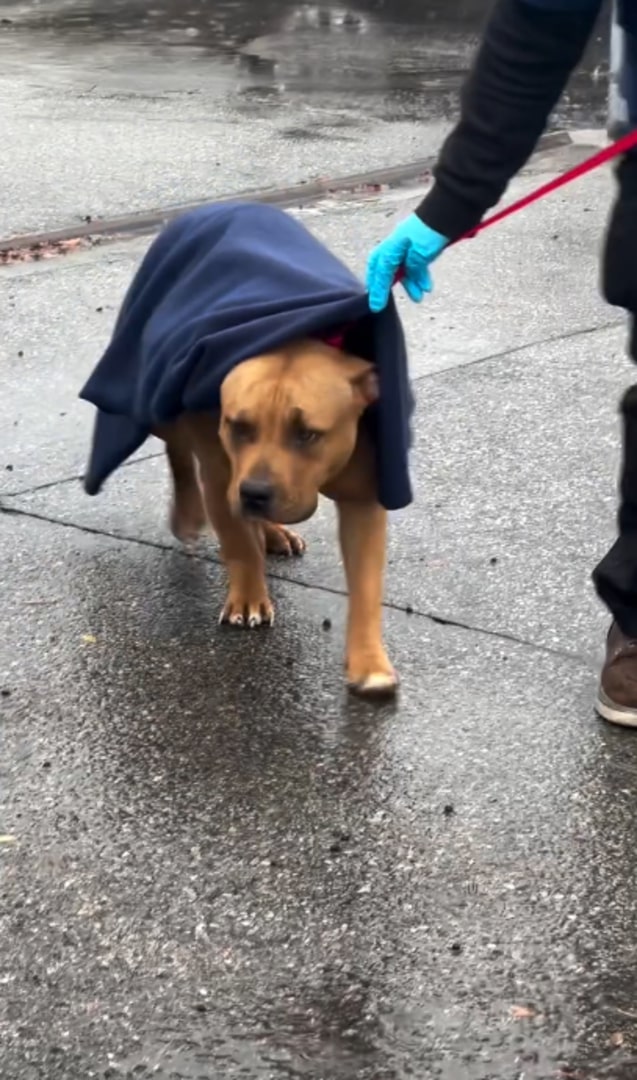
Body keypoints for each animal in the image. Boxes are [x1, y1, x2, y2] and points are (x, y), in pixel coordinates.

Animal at [156, 336, 395, 695]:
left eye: (307, 434)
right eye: (239, 427)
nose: (255, 492)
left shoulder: (363, 500)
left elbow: (366, 585)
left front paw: (369, 661)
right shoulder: (222, 479)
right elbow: (241, 544)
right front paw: (248, 598)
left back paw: (272, 532)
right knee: (176, 443)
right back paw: (189, 512)